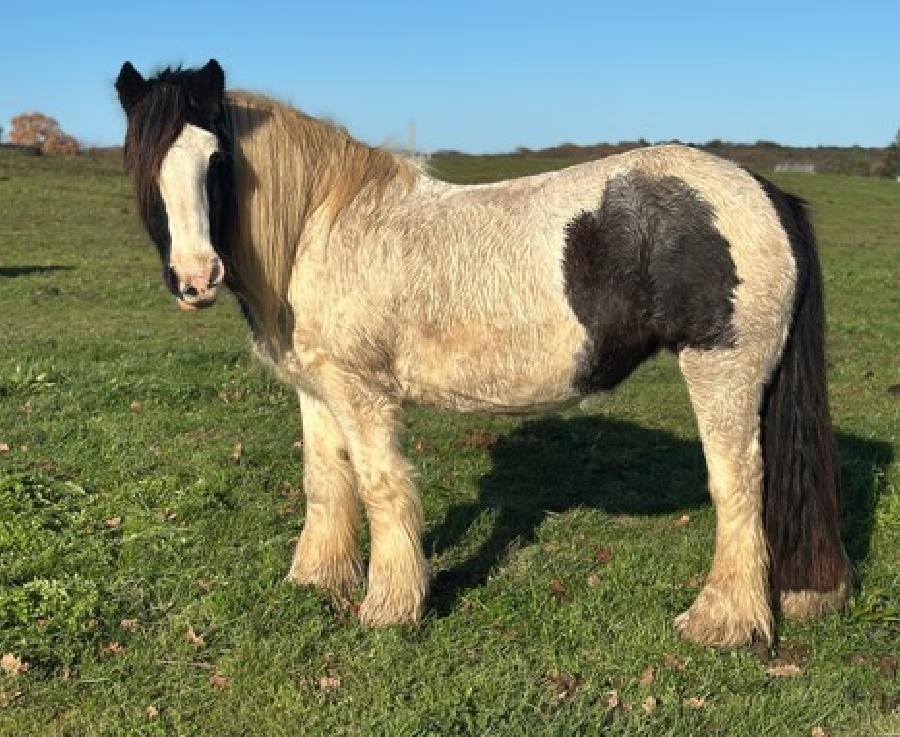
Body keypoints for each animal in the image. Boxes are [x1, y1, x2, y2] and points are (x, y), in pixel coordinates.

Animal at [114, 59, 849, 647]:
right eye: (142, 164)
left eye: (217, 161)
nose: (196, 277)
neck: (323, 226)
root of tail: (763, 192)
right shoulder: (317, 390)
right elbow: (326, 479)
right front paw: (318, 577)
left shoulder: (362, 393)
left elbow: (382, 485)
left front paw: (390, 607)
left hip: (721, 371)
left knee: (738, 484)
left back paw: (721, 622)